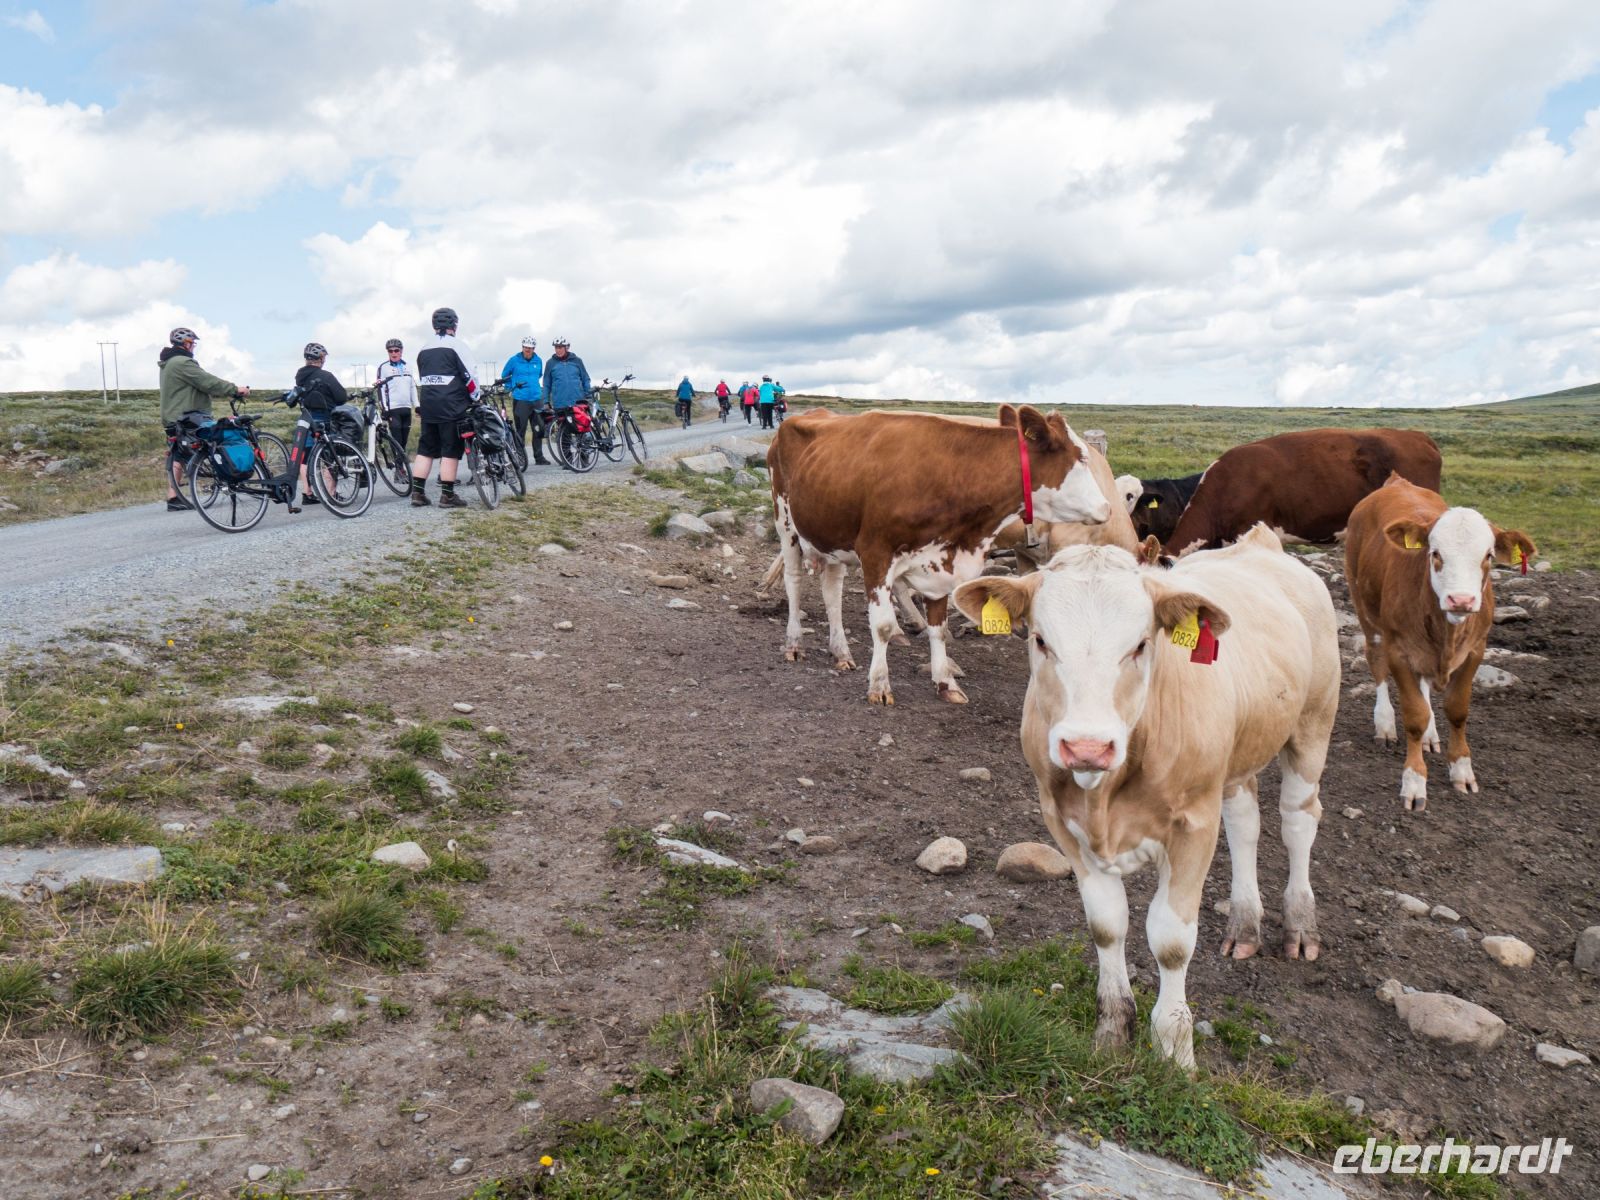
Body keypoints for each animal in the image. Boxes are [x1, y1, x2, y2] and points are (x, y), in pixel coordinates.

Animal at [768, 405, 1111, 705]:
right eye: (1082, 458)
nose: (1107, 507)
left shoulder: (941, 562)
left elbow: (939, 629)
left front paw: (945, 682)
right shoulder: (876, 552)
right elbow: (882, 626)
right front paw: (879, 685)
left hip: (830, 535)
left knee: (832, 591)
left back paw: (841, 651)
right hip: (786, 522)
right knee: (794, 582)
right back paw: (794, 644)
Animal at [952, 525, 1339, 1069]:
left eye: (1140, 644)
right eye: (1040, 639)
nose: (1087, 746)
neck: (1104, 795)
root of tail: (1261, 544)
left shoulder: (1194, 824)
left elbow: (1172, 940)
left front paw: (1175, 1052)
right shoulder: (1061, 822)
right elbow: (1107, 925)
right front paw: (1113, 1033)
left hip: (1313, 723)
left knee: (1297, 820)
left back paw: (1301, 926)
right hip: (1237, 755)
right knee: (1245, 820)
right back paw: (1244, 927)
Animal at [1344, 474, 1536, 812]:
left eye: (1488, 556)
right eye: (1434, 553)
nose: (1461, 600)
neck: (1447, 632)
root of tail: (1397, 482)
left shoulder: (1475, 650)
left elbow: (1457, 710)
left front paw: (1461, 770)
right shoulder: (1398, 650)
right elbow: (1414, 716)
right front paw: (1414, 782)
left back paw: (1431, 736)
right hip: (1366, 610)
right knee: (1376, 664)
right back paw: (1384, 725)